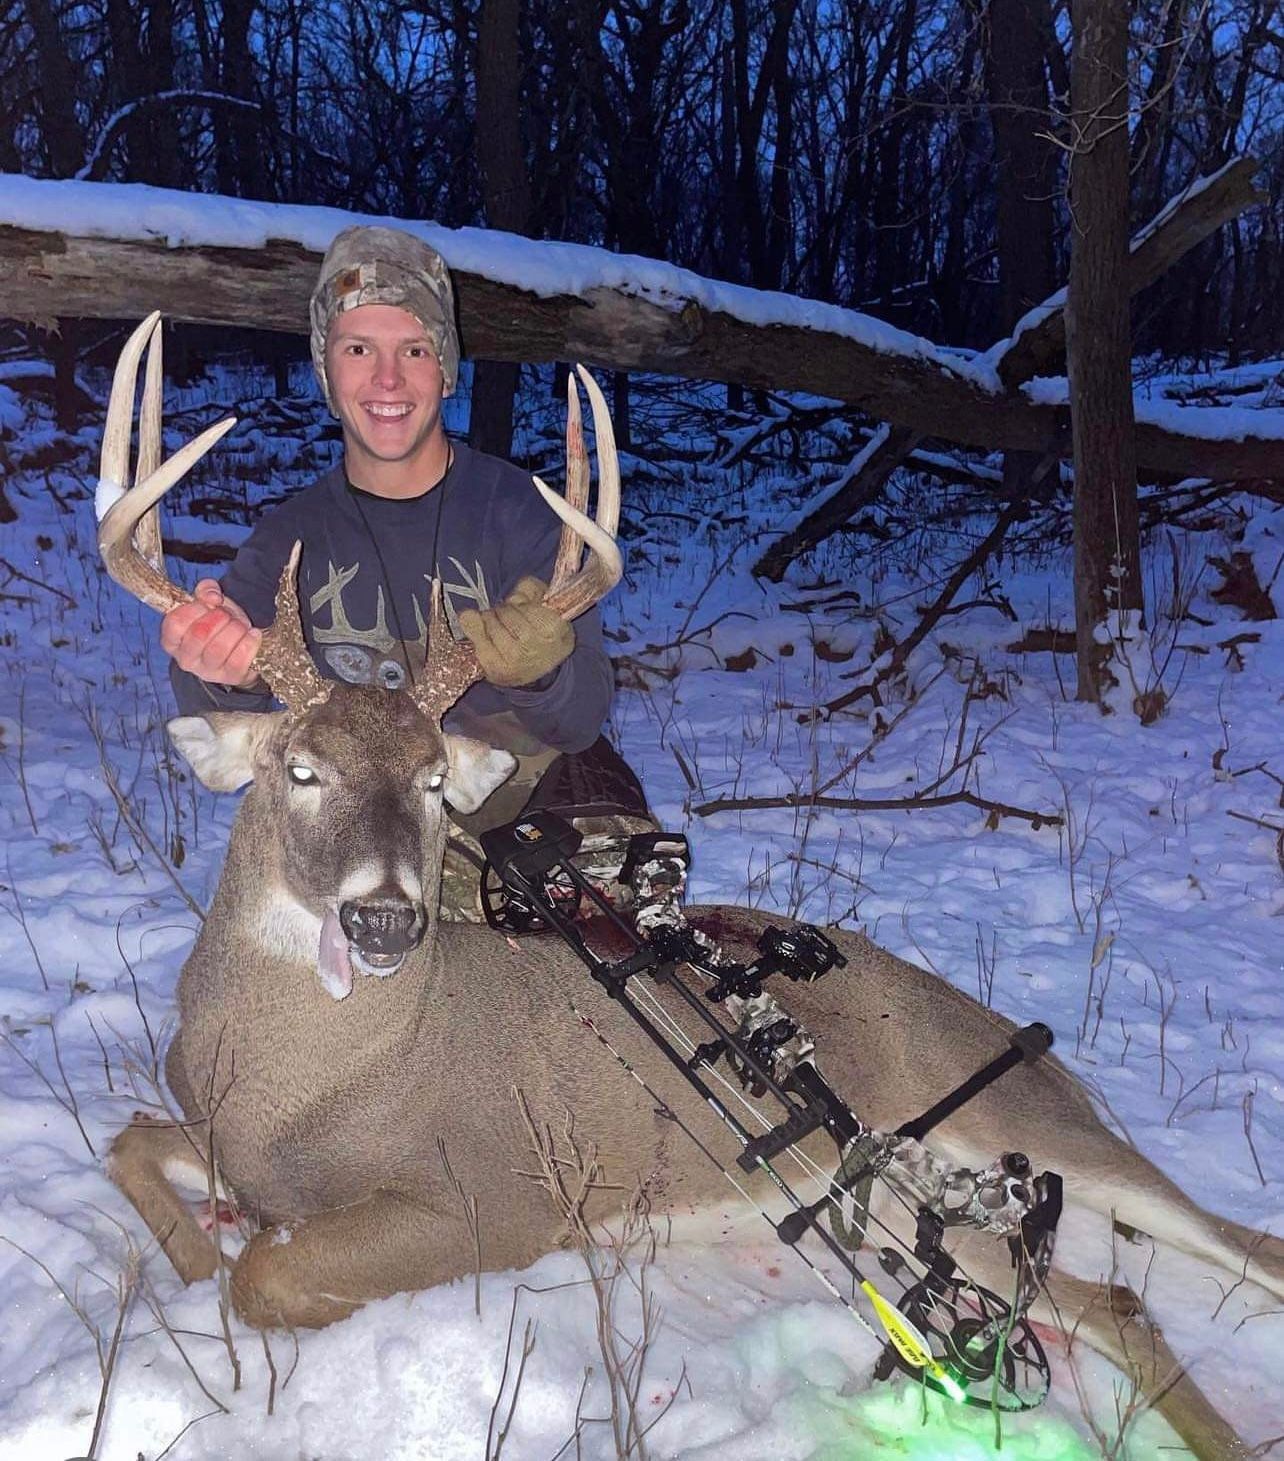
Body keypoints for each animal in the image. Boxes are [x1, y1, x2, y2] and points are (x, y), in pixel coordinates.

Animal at [99, 314, 1281, 1460]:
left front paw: (237, 1270)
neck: (295, 1088)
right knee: (1109, 1295)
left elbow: (264, 1273)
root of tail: (1016, 1037)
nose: (383, 916)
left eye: (436, 782)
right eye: (297, 769)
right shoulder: (219, 1138)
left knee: (1208, 1254)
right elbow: (131, 1149)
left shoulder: (494, 1197)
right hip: (931, 1204)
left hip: (1013, 1123)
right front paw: (199, 1246)